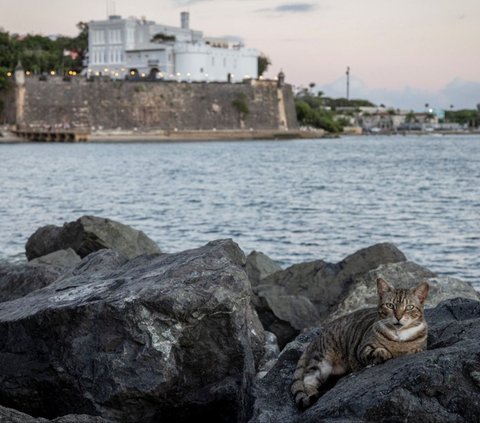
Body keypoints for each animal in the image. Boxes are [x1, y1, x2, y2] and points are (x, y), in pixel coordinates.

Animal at [290, 278, 430, 410]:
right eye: (390, 305)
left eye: (410, 307)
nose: (398, 317)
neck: (399, 335)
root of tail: (318, 334)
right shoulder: (362, 349)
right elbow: (375, 351)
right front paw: (384, 353)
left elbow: (416, 348)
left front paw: (414, 350)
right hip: (322, 361)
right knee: (307, 380)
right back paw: (313, 394)